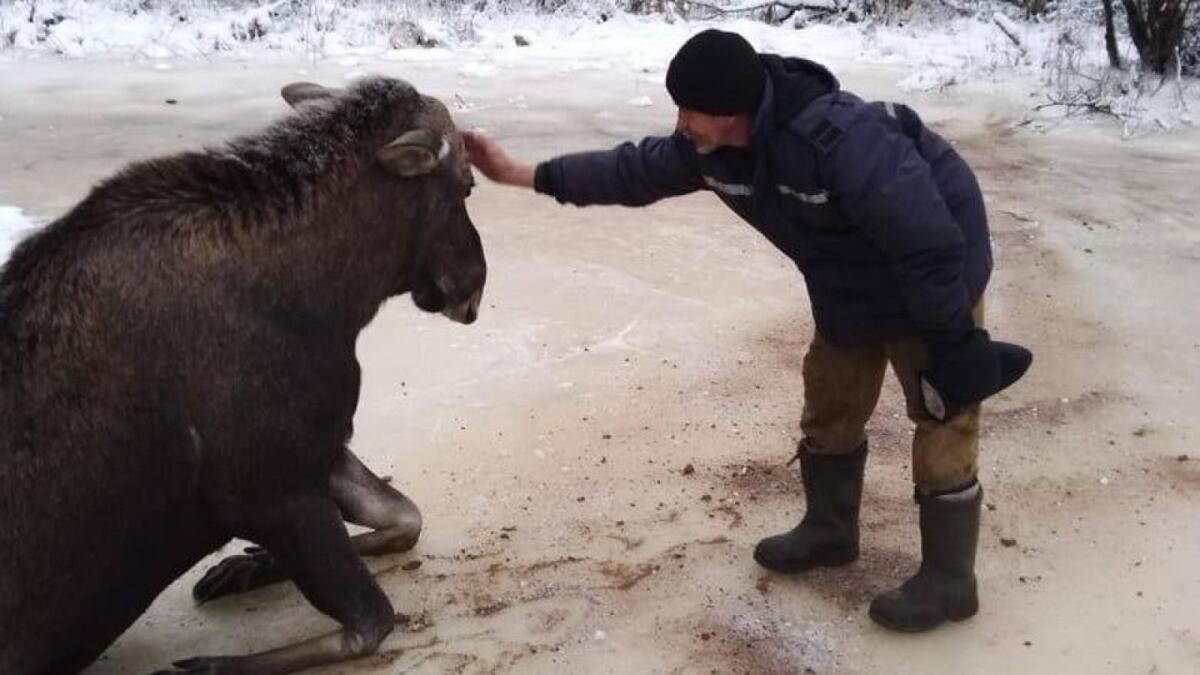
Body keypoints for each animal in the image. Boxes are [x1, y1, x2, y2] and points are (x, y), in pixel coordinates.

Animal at [2, 76, 487, 667]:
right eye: (466, 184)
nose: (474, 286)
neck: (338, 297)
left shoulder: (312, 450)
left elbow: (404, 518)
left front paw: (249, 565)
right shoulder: (272, 479)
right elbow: (371, 621)